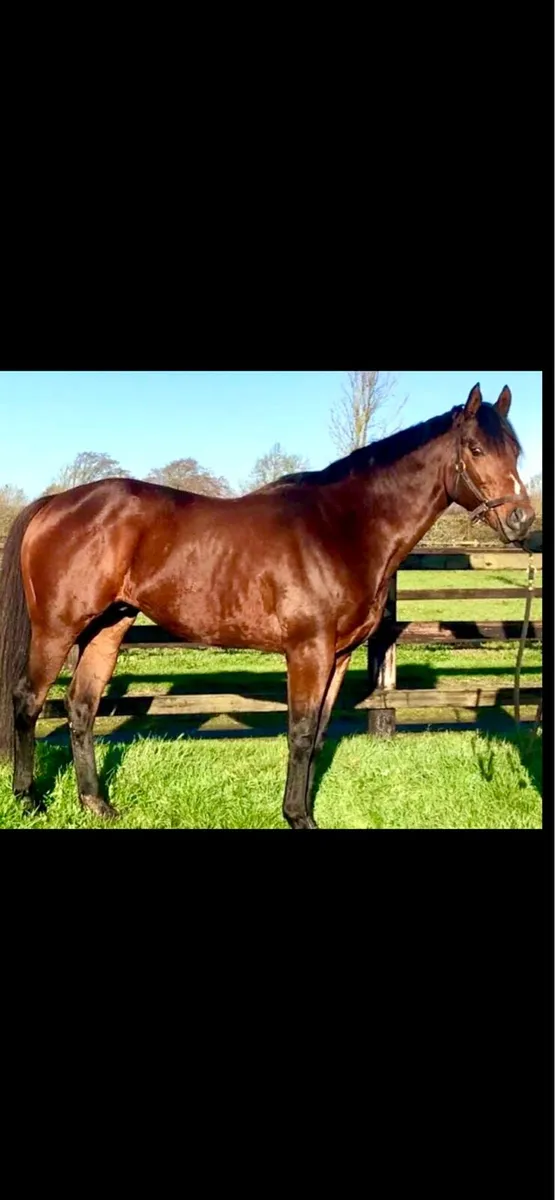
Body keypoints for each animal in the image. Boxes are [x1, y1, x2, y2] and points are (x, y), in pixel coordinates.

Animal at [0, 383, 534, 828]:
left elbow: (318, 734)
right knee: (28, 701)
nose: (522, 519)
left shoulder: (339, 655)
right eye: (476, 449)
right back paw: (29, 799)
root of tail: (55, 503)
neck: (342, 529)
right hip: (58, 627)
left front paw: (304, 811)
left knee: (82, 707)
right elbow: (299, 731)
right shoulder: (308, 651)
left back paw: (97, 804)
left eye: (515, 450)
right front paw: (297, 817)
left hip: (108, 627)